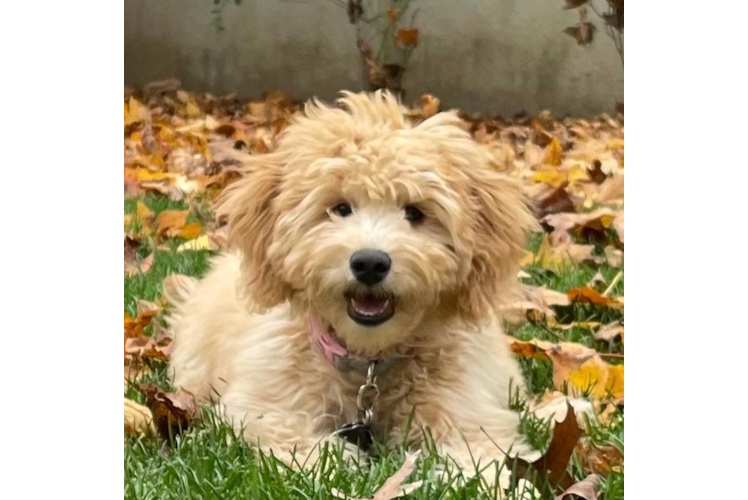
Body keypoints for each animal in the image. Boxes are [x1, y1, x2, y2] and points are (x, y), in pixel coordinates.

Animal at [166, 91, 536, 480]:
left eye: (415, 212)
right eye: (340, 208)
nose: (370, 263)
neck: (368, 362)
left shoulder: (468, 411)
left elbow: (479, 452)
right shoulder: (265, 407)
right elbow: (284, 435)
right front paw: (338, 464)